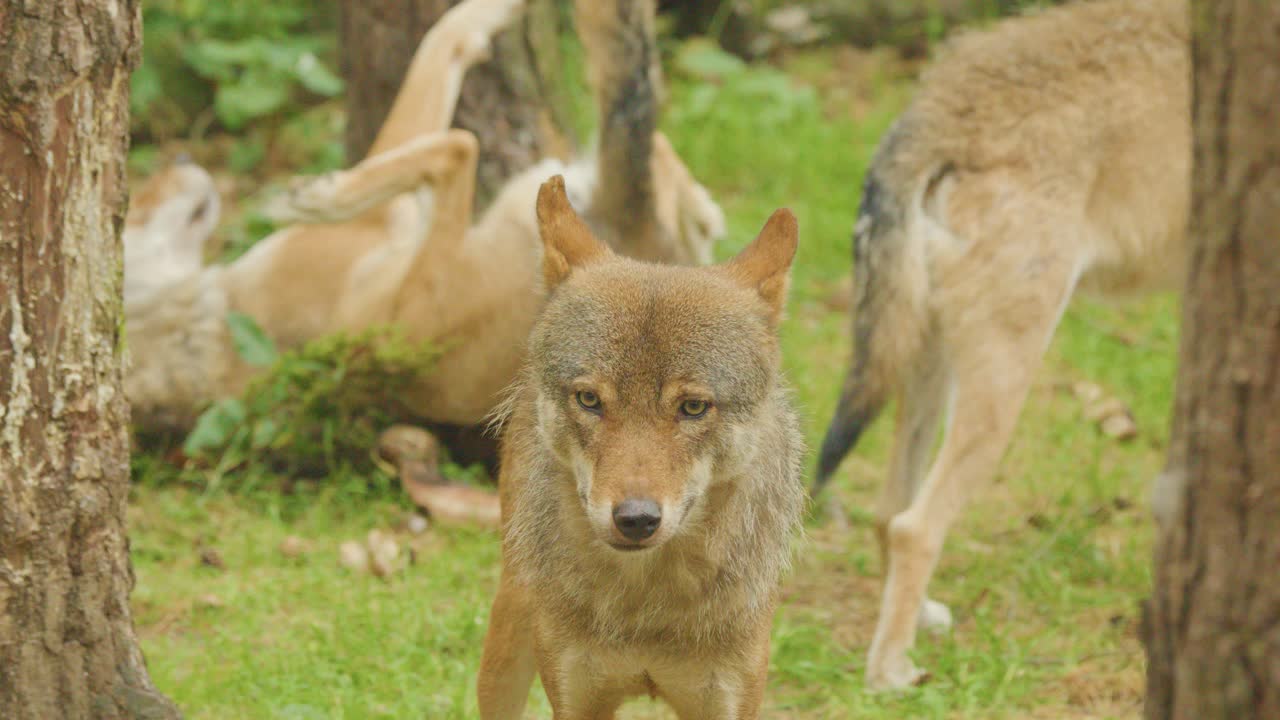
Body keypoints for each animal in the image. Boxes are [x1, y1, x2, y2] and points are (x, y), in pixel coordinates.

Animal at [123, 0, 725, 432]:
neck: (202, 327)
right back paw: (319, 192)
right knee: (459, 147)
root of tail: (633, 235)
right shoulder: (381, 226)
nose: (181, 158)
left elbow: (443, 39)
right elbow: (438, 68)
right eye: (130, 210)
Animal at [475, 176, 805, 718]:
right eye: (589, 399)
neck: (647, 606)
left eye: (693, 407)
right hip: (506, 643)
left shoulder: (728, 702)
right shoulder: (575, 700)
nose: (635, 519)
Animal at [811, 0, 1190, 690]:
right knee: (916, 526)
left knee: (890, 509)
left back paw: (918, 623)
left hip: (932, 362)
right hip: (1004, 382)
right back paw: (891, 673)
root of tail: (940, 109)